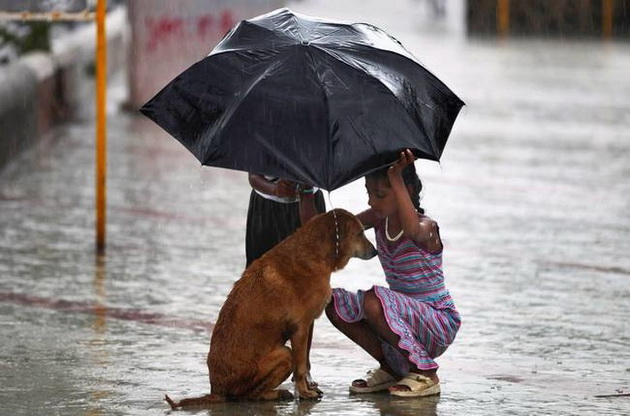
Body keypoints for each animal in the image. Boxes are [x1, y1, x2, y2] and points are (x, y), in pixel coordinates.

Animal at [165, 207, 378, 406]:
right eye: (360, 233)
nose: (375, 251)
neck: (313, 253)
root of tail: (216, 390)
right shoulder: (300, 329)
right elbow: (301, 368)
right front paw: (305, 392)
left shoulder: (305, 327)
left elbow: (304, 364)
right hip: (284, 355)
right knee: (248, 395)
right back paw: (276, 394)